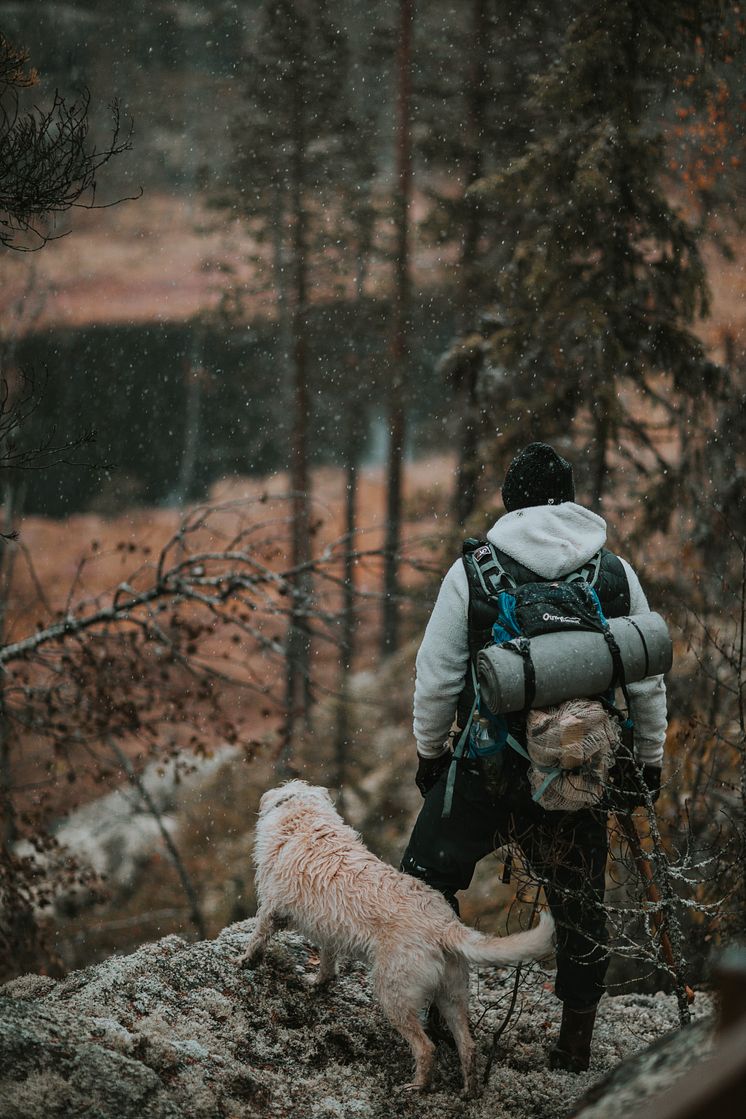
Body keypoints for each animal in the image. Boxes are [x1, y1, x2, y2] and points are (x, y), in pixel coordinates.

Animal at [238, 783, 554, 1096]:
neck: (306, 824)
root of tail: (445, 925)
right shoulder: (328, 929)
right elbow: (328, 959)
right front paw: (320, 981)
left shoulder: (271, 908)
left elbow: (258, 936)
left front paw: (245, 960)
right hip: (452, 994)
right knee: (468, 1045)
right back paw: (469, 1091)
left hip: (394, 993)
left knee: (426, 1047)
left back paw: (417, 1085)